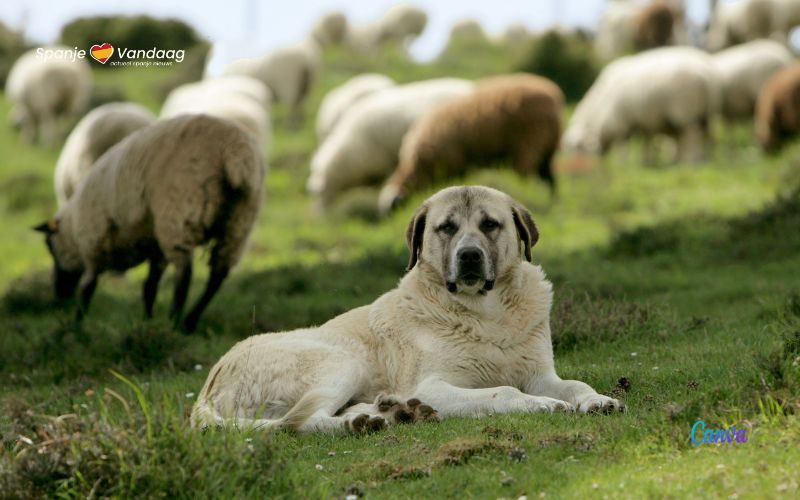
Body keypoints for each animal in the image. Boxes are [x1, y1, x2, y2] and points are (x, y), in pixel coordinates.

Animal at [35, 114, 266, 332]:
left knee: (184, 273)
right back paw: (189, 321)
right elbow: (149, 287)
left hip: (178, 212)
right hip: (239, 221)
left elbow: (87, 288)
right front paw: (147, 321)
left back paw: (174, 321)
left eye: (49, 247)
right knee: (217, 275)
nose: (59, 293)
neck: (73, 229)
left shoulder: (94, 242)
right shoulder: (155, 248)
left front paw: (76, 324)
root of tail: (235, 152)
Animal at [194, 186, 624, 432]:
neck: (487, 314)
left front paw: (597, 400)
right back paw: (365, 423)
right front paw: (544, 406)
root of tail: (208, 387)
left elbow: (574, 385)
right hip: (342, 360)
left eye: (490, 224)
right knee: (297, 422)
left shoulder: (540, 374)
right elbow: (503, 391)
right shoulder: (434, 386)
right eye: (446, 228)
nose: (469, 256)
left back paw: (388, 412)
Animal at [376, 74, 564, 213]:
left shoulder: (453, 163)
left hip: (529, 144)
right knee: (550, 180)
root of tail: (552, 95)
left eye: (394, 208)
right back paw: (553, 202)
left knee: (527, 177)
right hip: (547, 149)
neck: (419, 166)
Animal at [564, 45, 720, 164]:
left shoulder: (621, 123)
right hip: (705, 113)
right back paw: (704, 159)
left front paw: (621, 163)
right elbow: (647, 141)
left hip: (685, 112)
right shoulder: (644, 121)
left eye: (578, 147)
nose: (575, 168)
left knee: (691, 135)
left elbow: (623, 146)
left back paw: (692, 161)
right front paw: (646, 161)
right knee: (707, 136)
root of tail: (705, 73)